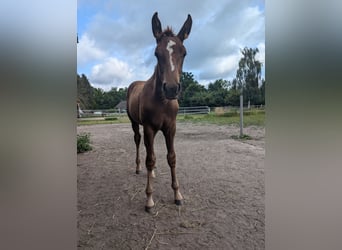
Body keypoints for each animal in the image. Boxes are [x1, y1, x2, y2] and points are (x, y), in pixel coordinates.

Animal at [127, 11, 192, 211]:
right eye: (156, 53)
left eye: (184, 53)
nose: (171, 88)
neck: (162, 103)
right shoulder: (149, 127)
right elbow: (150, 158)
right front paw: (149, 199)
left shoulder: (170, 128)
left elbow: (171, 158)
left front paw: (177, 194)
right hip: (135, 123)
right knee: (139, 142)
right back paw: (139, 168)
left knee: (149, 148)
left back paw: (153, 173)